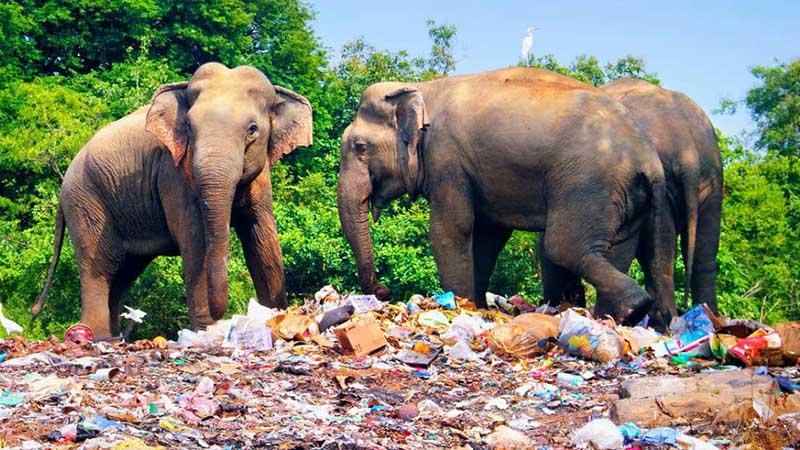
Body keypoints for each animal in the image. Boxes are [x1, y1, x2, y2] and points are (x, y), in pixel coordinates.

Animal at [32, 61, 312, 340]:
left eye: (252, 129)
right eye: (189, 127)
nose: (224, 317)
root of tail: (64, 184)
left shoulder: (261, 178)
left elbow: (262, 241)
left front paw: (274, 318)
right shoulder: (173, 174)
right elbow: (195, 242)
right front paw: (206, 333)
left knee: (124, 271)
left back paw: (113, 337)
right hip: (85, 202)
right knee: (100, 266)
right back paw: (99, 337)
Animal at [338, 67, 676, 326]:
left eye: (360, 147)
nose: (382, 292)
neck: (422, 88)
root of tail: (649, 159)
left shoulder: (446, 159)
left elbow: (452, 229)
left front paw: (460, 306)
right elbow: (487, 236)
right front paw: (476, 306)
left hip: (588, 185)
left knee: (562, 246)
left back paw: (633, 307)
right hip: (626, 196)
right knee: (617, 250)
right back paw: (615, 318)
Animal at [536, 78, 724, 320]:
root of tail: (687, 149)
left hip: (663, 182)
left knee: (658, 254)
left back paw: (660, 318)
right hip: (712, 182)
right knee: (702, 254)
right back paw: (706, 315)